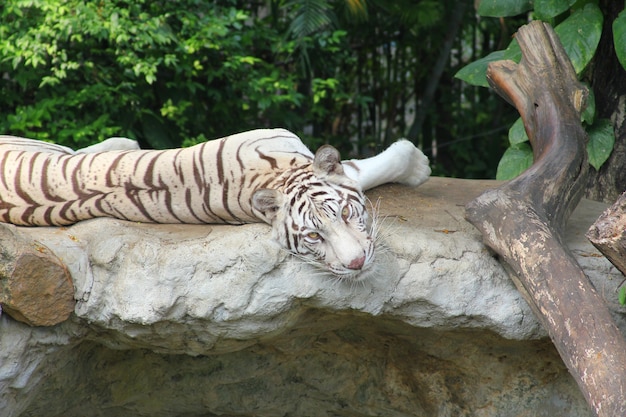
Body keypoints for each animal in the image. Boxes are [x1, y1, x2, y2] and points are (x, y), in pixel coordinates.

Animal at [0, 129, 428, 280]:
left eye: (345, 213)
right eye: (312, 237)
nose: (356, 264)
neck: (273, 176)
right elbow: (367, 167)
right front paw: (418, 163)